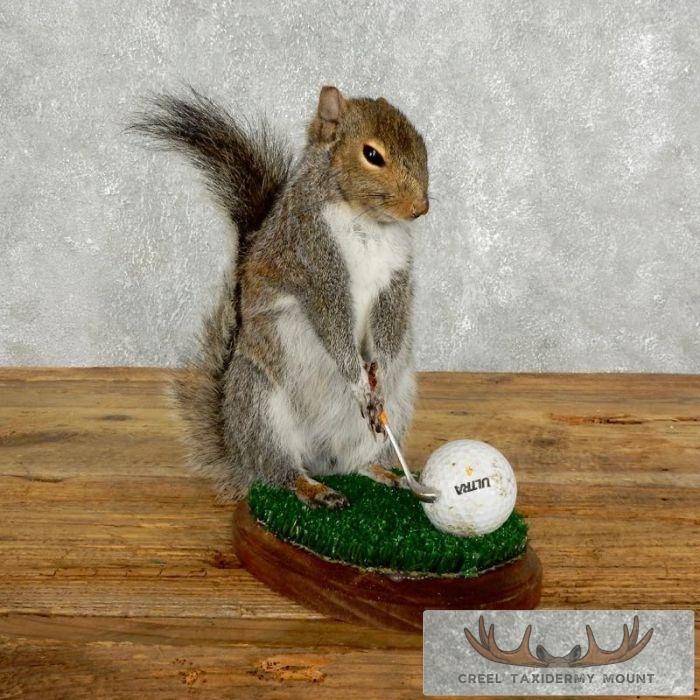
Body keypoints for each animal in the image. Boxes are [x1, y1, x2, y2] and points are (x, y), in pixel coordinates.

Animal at [132, 85, 429, 508]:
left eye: (421, 143)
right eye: (372, 155)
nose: (421, 207)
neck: (369, 223)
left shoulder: (395, 281)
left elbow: (391, 326)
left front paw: (378, 379)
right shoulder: (315, 266)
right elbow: (333, 325)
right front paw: (358, 382)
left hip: (397, 411)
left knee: (358, 461)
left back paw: (386, 473)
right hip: (261, 406)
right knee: (278, 472)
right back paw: (313, 489)